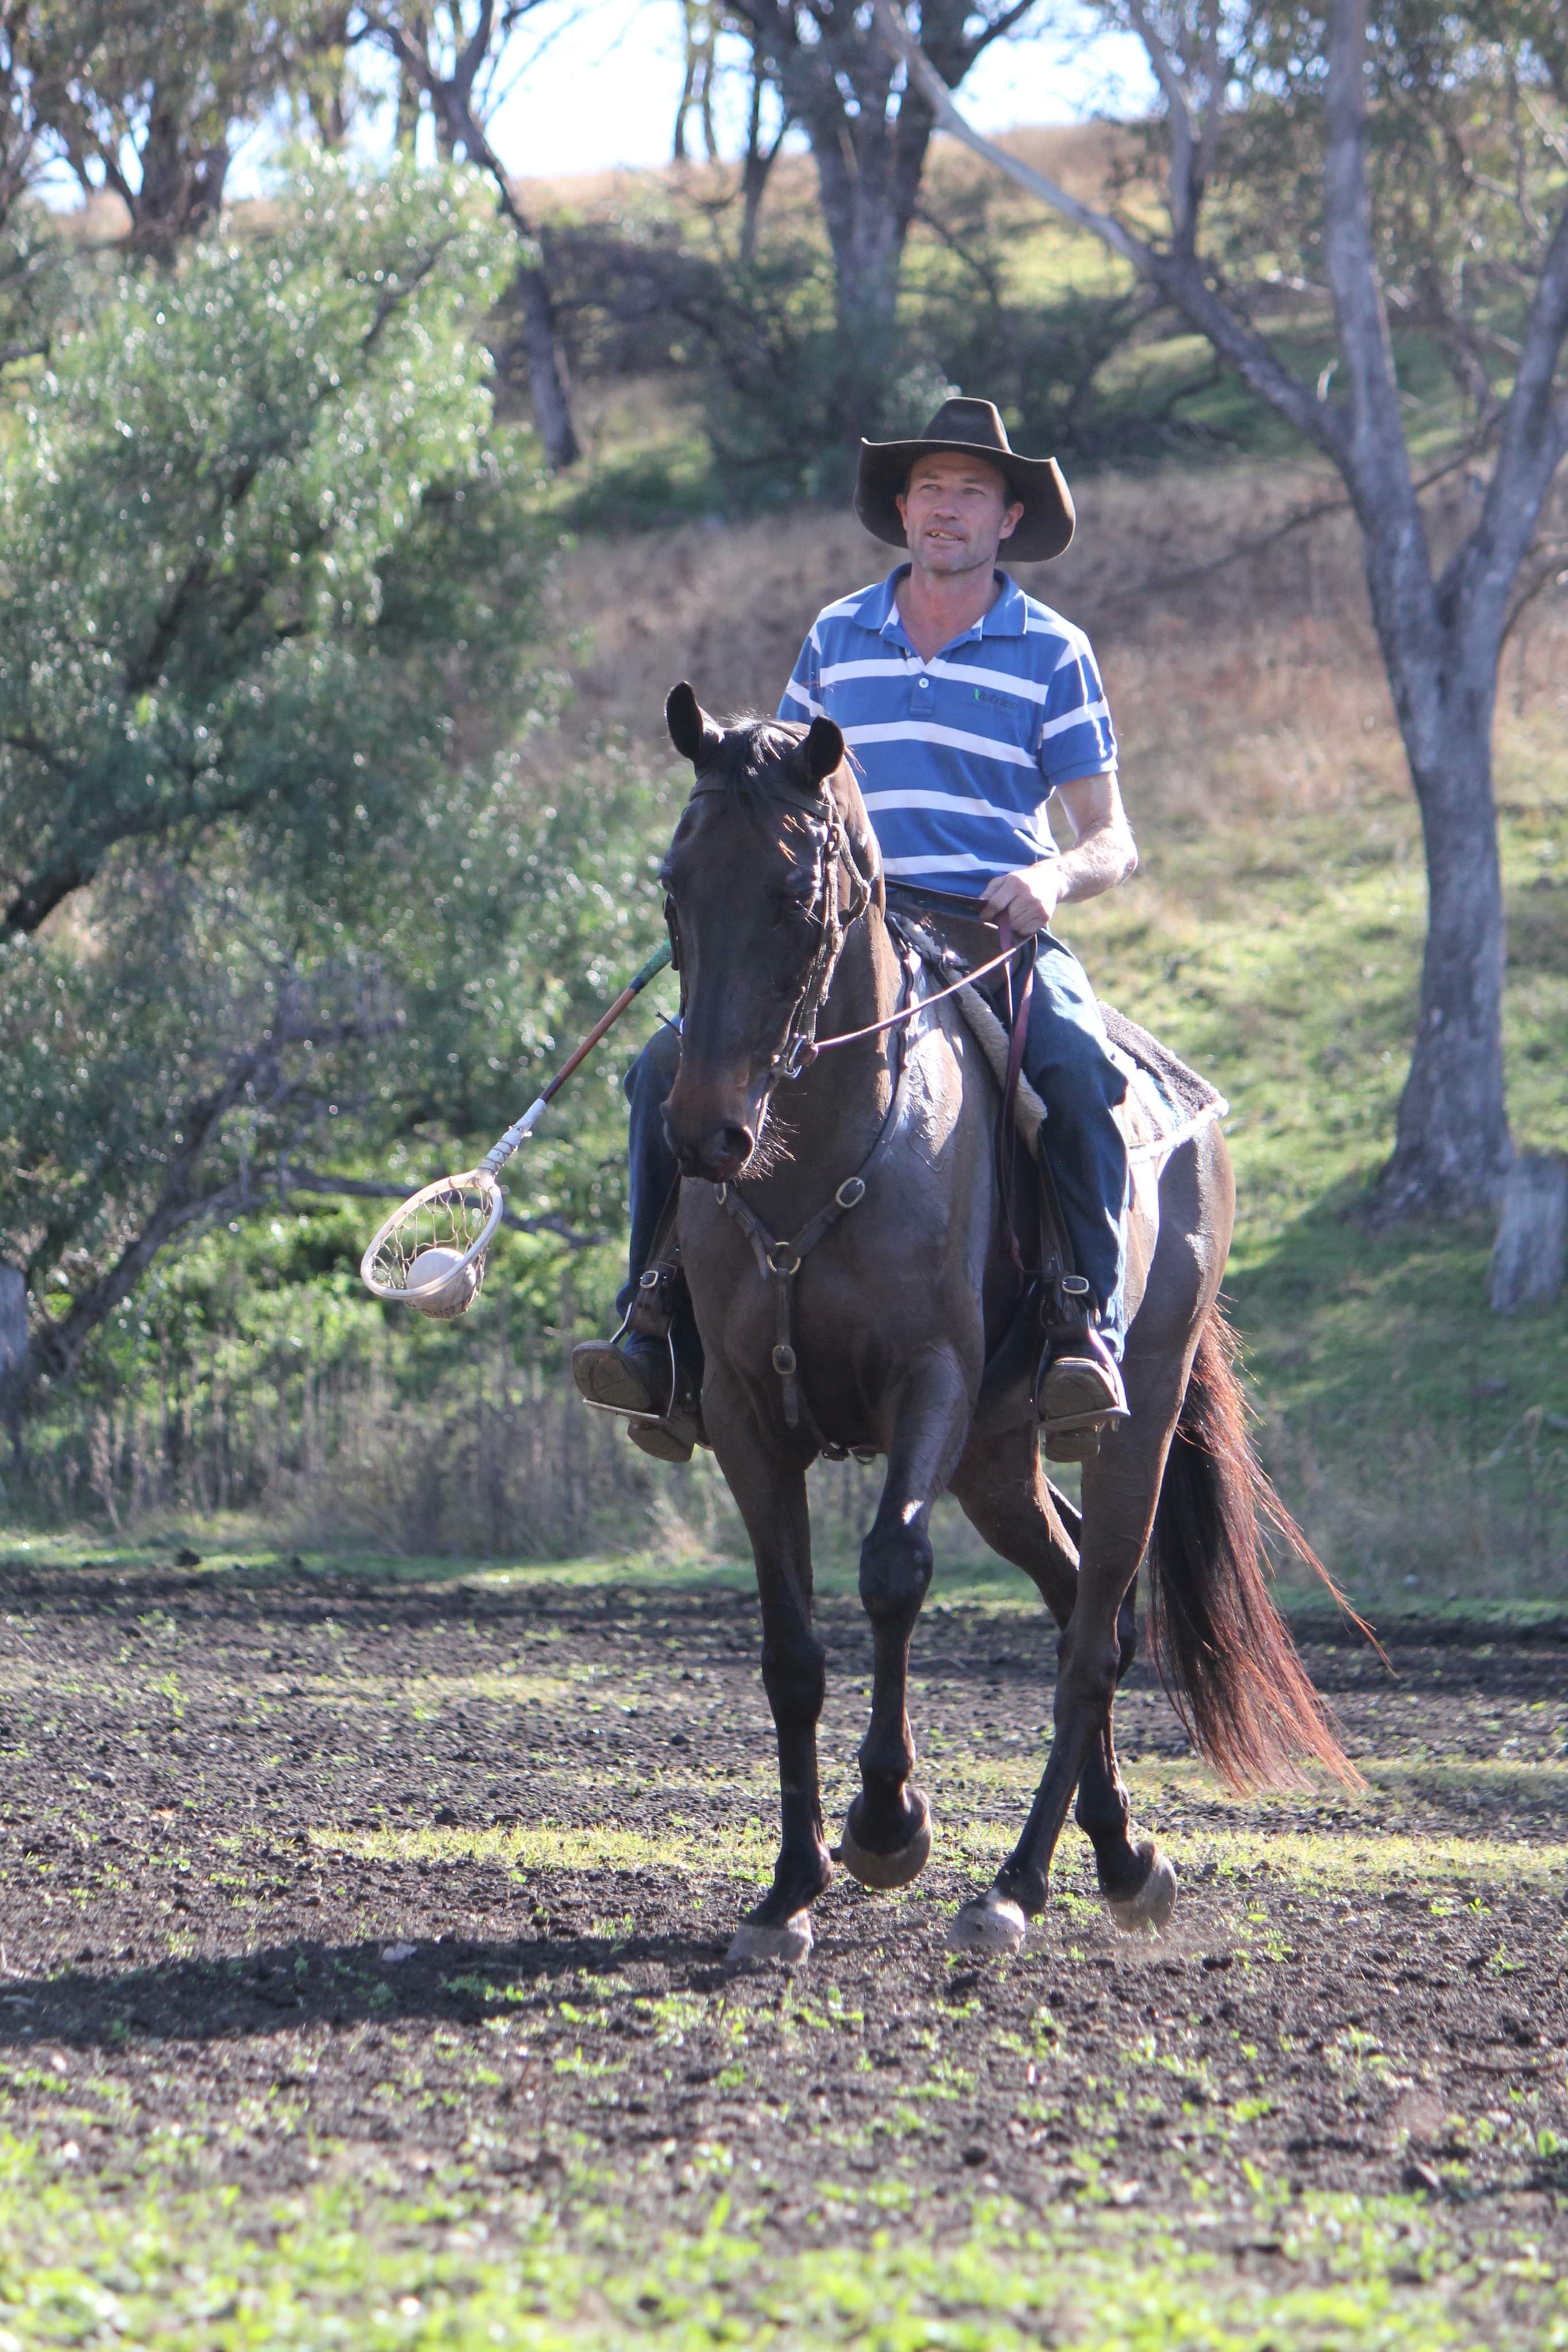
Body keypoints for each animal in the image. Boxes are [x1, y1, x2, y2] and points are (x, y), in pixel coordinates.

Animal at [655, 683, 1358, 1963]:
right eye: (674, 886)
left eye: (796, 900)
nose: (705, 1135)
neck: (823, 1158)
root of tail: (1198, 1119)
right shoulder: (742, 1413)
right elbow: (789, 1648)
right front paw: (788, 1889)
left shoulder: (928, 1382)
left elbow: (893, 1573)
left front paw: (888, 1823)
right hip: (996, 1456)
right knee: (1081, 1590)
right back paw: (1120, 1852)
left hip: (1131, 1421)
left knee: (1092, 1631)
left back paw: (1019, 1883)